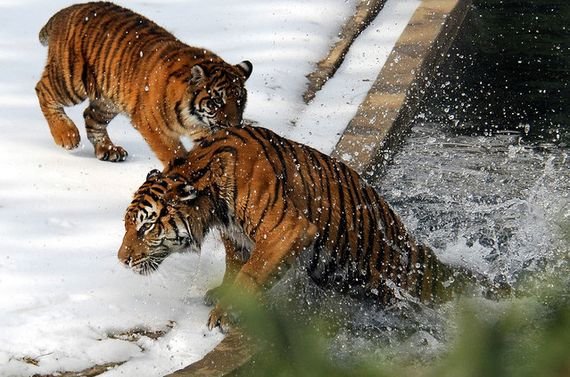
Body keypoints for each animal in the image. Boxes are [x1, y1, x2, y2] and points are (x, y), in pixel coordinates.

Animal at [33, 1, 251, 164]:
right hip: (70, 80)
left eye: (240, 102)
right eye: (217, 101)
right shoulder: (152, 125)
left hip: (109, 99)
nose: (234, 126)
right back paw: (67, 135)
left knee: (90, 115)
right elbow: (173, 153)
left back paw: (108, 149)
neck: (192, 118)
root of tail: (67, 11)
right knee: (42, 89)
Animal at [117, 125, 500, 330]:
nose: (121, 259)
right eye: (127, 225)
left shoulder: (286, 228)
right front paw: (223, 292)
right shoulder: (235, 236)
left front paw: (226, 313)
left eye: (145, 227)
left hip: (407, 281)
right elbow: (235, 264)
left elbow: (252, 271)